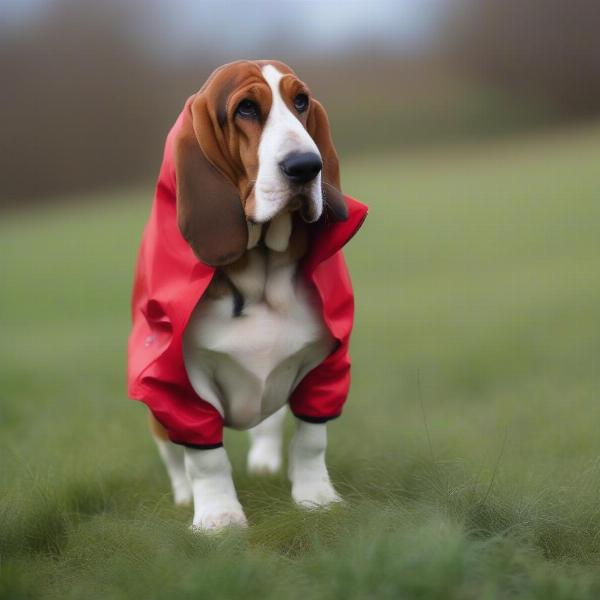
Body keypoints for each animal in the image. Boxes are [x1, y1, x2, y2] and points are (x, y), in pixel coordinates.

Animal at [127, 59, 366, 528]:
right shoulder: (179, 384)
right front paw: (219, 518)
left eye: (301, 101)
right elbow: (205, 459)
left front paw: (316, 499)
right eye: (247, 109)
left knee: (268, 425)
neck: (262, 276)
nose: (306, 166)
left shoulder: (327, 366)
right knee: (172, 454)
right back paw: (185, 496)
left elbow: (311, 440)